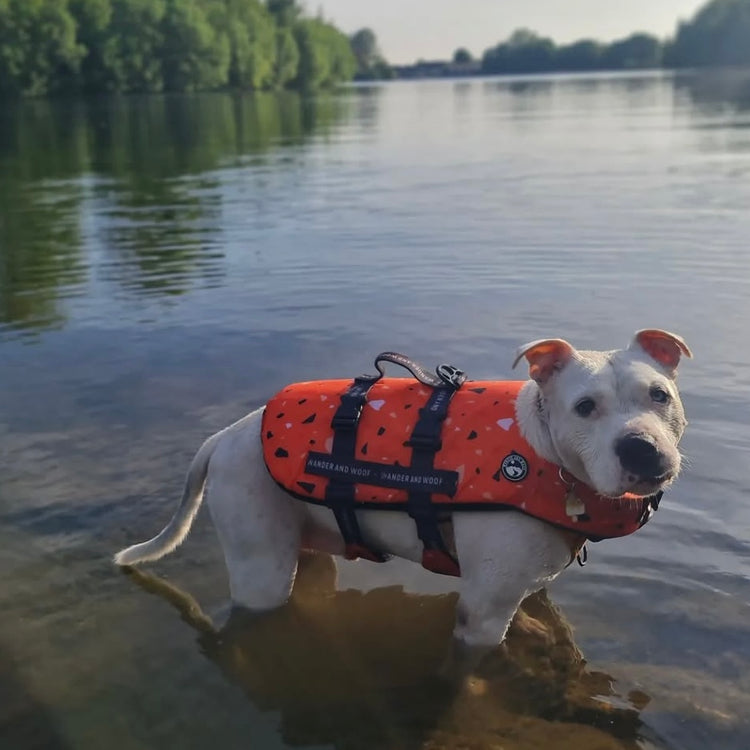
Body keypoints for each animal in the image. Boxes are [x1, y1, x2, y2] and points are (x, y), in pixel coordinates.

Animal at [113, 332, 692, 648]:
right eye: (585, 407)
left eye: (659, 395)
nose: (641, 450)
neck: (546, 452)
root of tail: (226, 436)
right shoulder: (481, 616)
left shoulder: (529, 585)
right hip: (262, 570)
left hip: (303, 549)